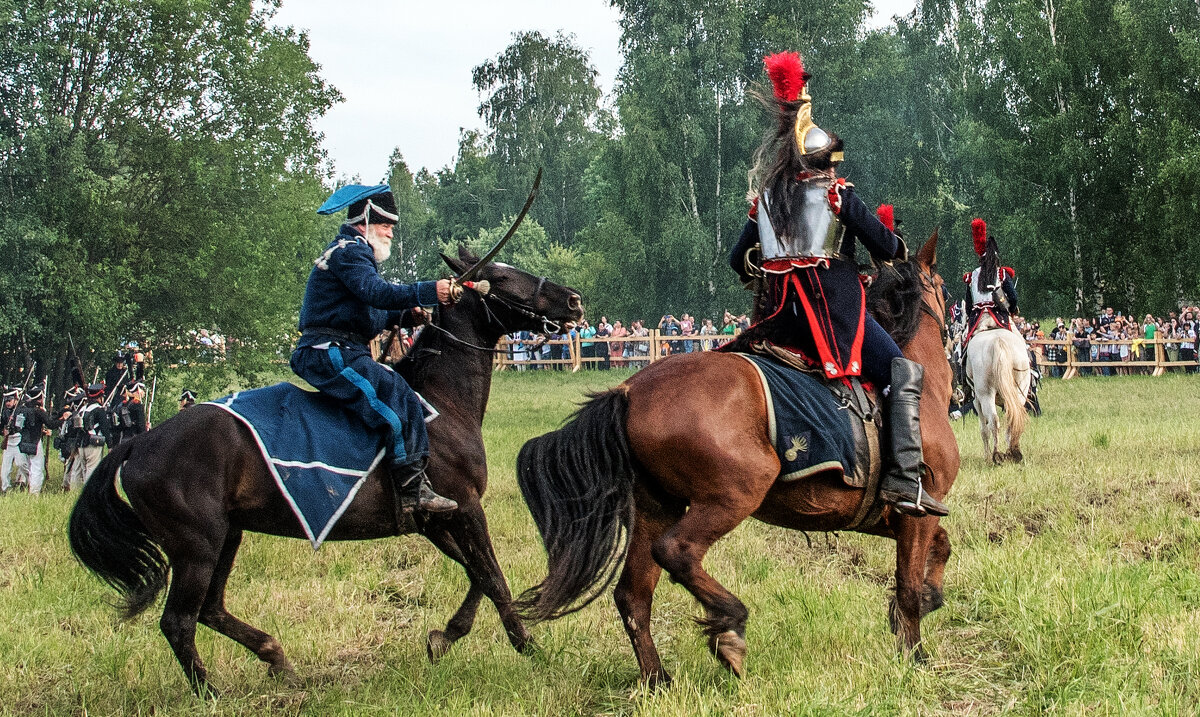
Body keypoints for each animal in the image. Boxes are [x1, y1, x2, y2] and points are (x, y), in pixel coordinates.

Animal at [68, 252, 583, 695]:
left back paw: (275, 658)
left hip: (224, 537)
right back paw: (210, 691)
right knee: (179, 621)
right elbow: (492, 577)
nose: (574, 300)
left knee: (210, 610)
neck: (441, 402)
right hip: (196, 547)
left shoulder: (437, 521)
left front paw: (445, 637)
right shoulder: (464, 508)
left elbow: (475, 573)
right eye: (501, 276)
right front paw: (529, 647)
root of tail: (140, 443)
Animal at [516, 233, 955, 690]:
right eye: (944, 287)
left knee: (634, 595)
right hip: (734, 495)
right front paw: (915, 655)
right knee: (676, 551)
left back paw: (658, 679)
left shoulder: (887, 516)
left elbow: (940, 549)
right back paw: (730, 626)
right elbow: (908, 584)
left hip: (657, 507)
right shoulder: (917, 512)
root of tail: (629, 390)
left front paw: (924, 604)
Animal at [964, 316, 1032, 467]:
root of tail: (998, 341)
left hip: (985, 395)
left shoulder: (977, 401)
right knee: (1013, 418)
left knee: (993, 421)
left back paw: (996, 455)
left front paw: (986, 456)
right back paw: (1013, 453)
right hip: (1019, 392)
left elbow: (984, 430)